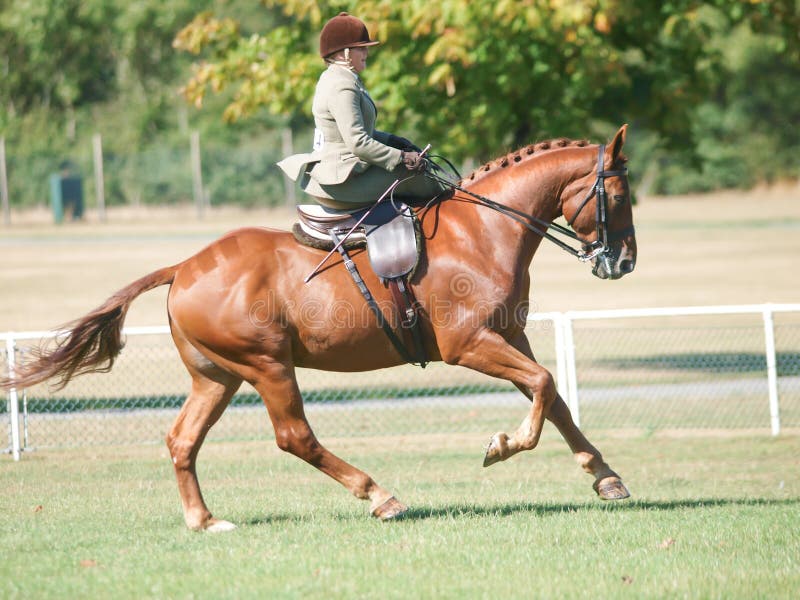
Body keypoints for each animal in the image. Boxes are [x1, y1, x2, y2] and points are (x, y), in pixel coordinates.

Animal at [1, 125, 636, 528]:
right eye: (618, 194)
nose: (624, 263)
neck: (483, 230)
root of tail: (183, 267)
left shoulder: (510, 337)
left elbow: (553, 397)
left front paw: (604, 476)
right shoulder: (470, 345)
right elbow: (544, 386)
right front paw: (504, 445)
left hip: (218, 376)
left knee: (183, 440)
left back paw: (203, 520)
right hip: (267, 365)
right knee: (294, 437)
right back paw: (379, 496)